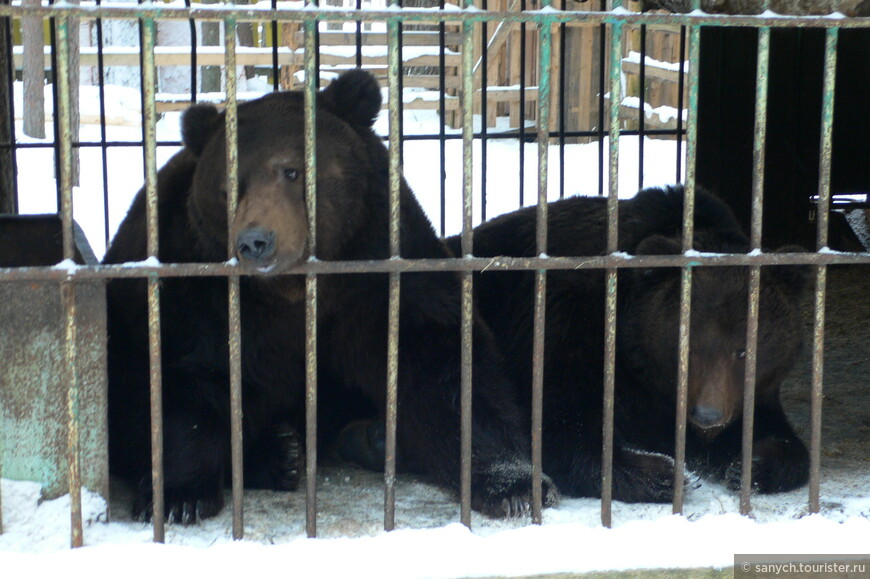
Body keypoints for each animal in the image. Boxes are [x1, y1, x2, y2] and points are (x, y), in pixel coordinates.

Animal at [104, 70, 560, 524]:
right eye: (228, 187)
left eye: (291, 171)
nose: (255, 242)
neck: (293, 290)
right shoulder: (195, 283)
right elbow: (186, 378)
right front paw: (179, 496)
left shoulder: (378, 269)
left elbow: (443, 363)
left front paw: (516, 484)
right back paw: (281, 452)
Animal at [446, 187, 816, 502]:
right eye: (688, 345)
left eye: (743, 350)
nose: (707, 415)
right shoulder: (567, 319)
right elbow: (560, 423)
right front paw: (663, 472)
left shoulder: (751, 390)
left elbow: (783, 436)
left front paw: (752, 464)